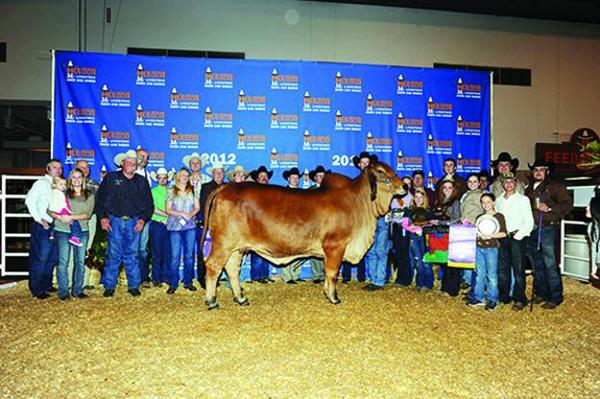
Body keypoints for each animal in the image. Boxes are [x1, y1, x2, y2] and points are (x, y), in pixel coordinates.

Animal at [202, 161, 408, 310]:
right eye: (381, 171)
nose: (405, 186)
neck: (357, 203)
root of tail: (225, 187)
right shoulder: (335, 246)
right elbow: (332, 272)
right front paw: (333, 297)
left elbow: (327, 273)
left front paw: (327, 293)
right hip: (223, 243)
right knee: (213, 266)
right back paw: (212, 301)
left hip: (237, 248)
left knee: (231, 269)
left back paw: (241, 298)